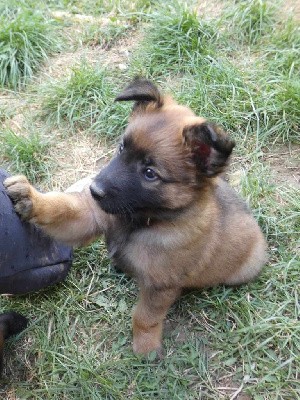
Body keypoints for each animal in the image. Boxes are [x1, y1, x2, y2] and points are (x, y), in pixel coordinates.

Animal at [4, 79, 268, 354]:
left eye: (150, 173)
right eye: (122, 147)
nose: (94, 190)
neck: (140, 220)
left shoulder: (159, 287)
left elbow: (144, 317)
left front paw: (145, 347)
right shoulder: (92, 215)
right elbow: (63, 208)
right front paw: (31, 198)